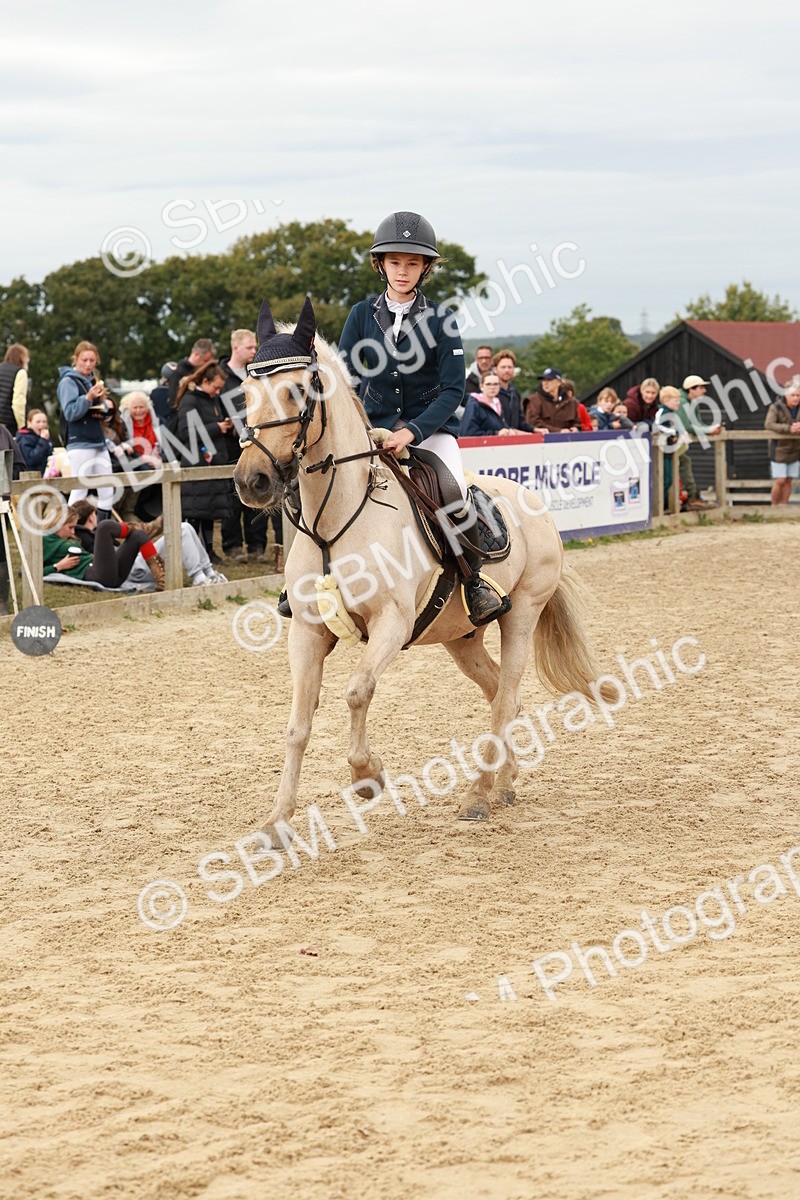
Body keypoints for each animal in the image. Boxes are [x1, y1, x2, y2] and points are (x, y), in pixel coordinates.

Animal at [233, 297, 610, 825]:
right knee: (501, 694)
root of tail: (538, 505)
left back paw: (478, 794)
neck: (335, 522)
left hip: (523, 613)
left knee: (507, 696)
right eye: (246, 392)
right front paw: (277, 823)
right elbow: (297, 725)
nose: (253, 482)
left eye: (298, 390)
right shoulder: (307, 631)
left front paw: (368, 775)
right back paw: (504, 782)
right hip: (461, 637)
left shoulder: (391, 623)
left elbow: (357, 691)